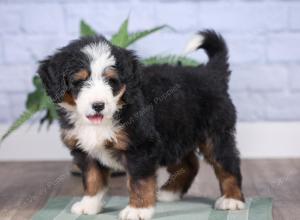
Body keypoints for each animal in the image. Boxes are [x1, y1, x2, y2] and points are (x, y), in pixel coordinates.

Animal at [37, 29, 244, 220]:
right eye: (79, 81)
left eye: (111, 81)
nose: (98, 105)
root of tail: (210, 73)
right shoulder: (85, 150)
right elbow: (92, 178)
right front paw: (90, 204)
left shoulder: (140, 146)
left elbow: (139, 181)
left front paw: (138, 210)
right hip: (174, 133)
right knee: (189, 164)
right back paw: (170, 192)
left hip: (215, 134)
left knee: (227, 164)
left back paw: (231, 199)